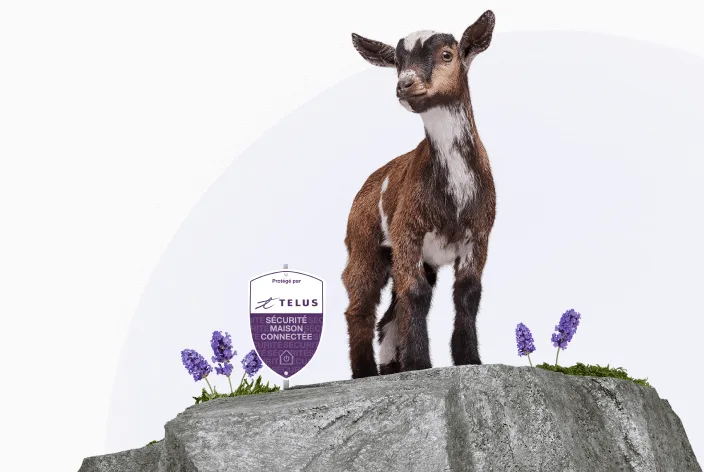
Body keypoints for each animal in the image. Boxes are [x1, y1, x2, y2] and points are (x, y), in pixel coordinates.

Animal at [342, 10, 497, 379]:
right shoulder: (406, 232)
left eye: (447, 55)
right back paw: (365, 371)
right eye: (397, 63)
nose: (405, 84)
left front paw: (469, 358)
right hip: (364, 243)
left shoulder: (479, 234)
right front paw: (419, 363)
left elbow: (468, 292)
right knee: (361, 304)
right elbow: (416, 294)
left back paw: (389, 367)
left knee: (389, 312)